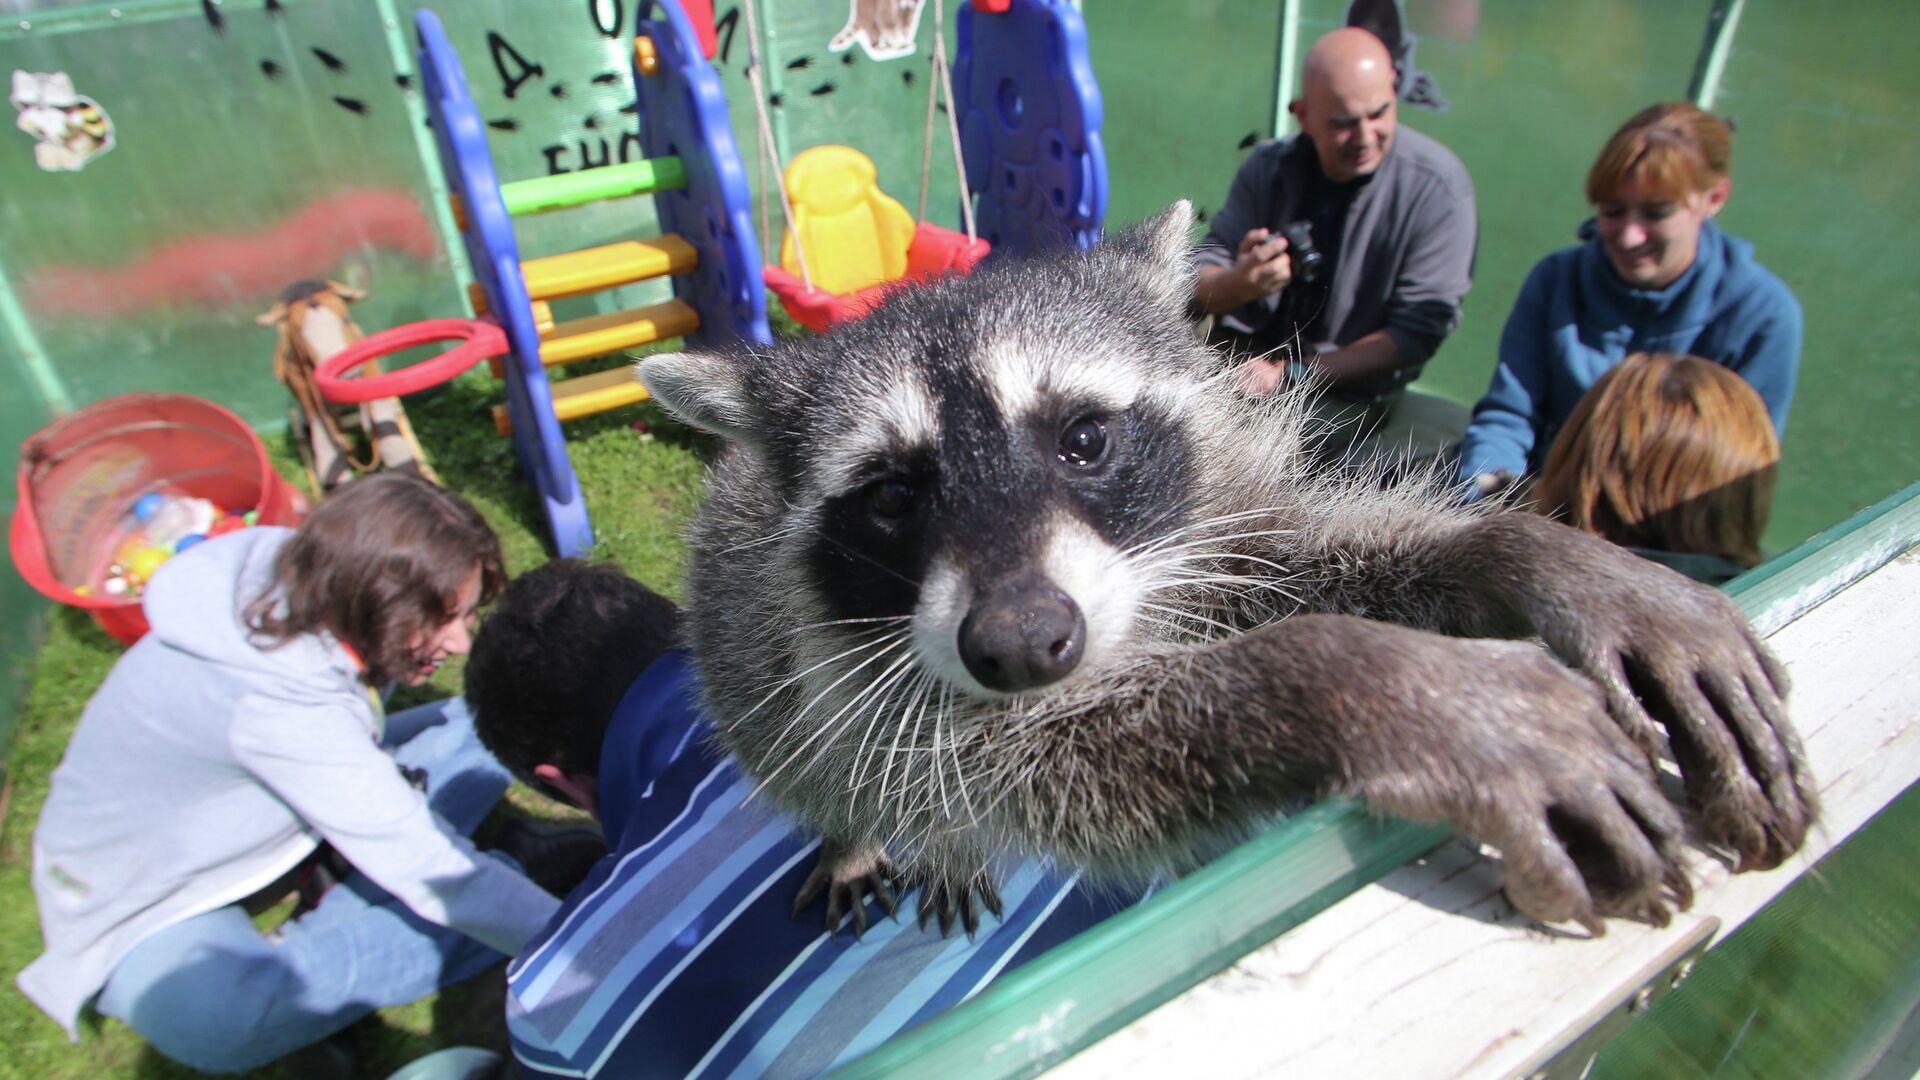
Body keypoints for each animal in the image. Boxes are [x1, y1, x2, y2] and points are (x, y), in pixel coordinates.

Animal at [633, 201, 1812, 933]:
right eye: (891, 499)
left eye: (1083, 439)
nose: (1021, 645)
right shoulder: (881, 683)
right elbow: (1031, 762)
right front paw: (1367, 679)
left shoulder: (1208, 534)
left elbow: (1300, 562)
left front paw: (1528, 553)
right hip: (744, 669)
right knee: (817, 766)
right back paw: (864, 838)